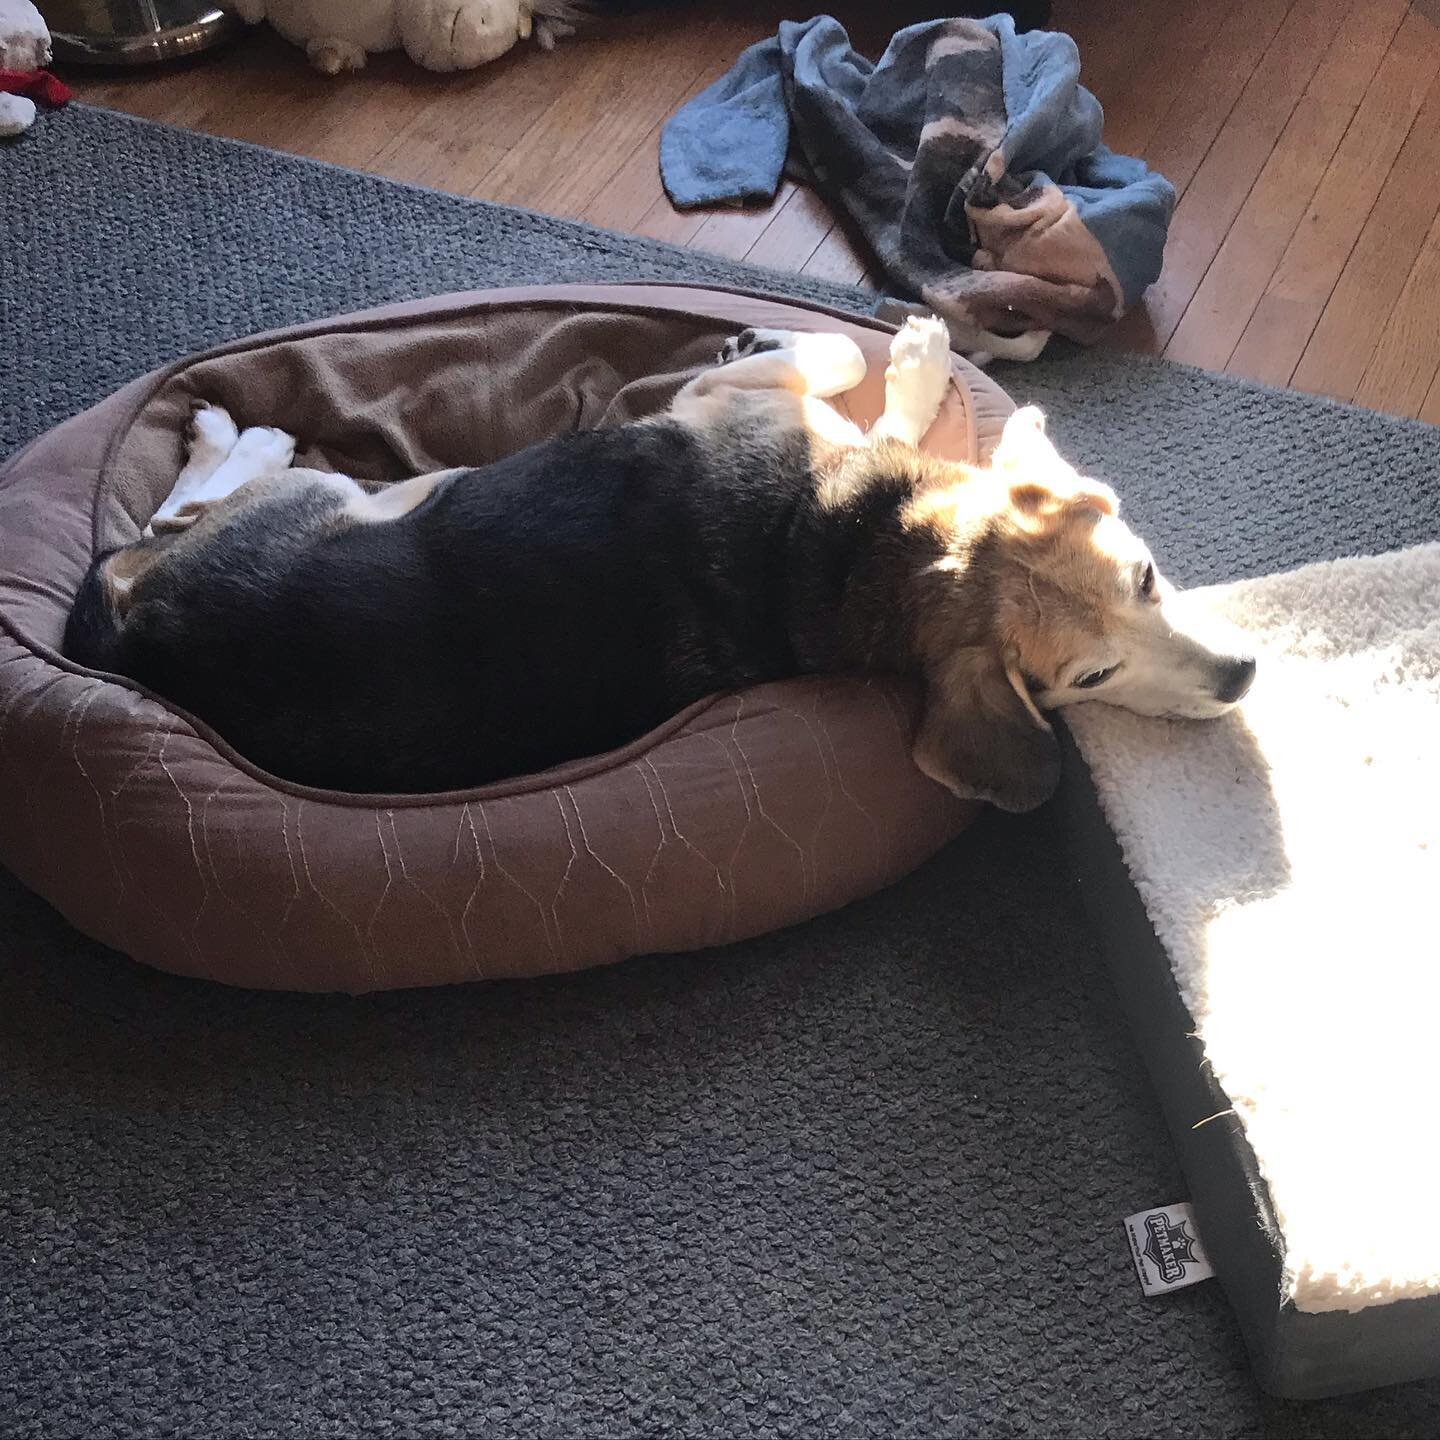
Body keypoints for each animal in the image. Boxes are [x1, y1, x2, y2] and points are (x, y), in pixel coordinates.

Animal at [59, 318, 1249, 812]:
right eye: (1088, 674)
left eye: (1145, 583)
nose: (1241, 679)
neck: (852, 543)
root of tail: (144, 647)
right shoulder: (734, 410)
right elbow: (842, 362)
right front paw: (914, 360)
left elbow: (844, 371)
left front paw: (907, 368)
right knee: (162, 520)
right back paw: (229, 434)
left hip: (336, 506)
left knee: (168, 518)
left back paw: (233, 436)